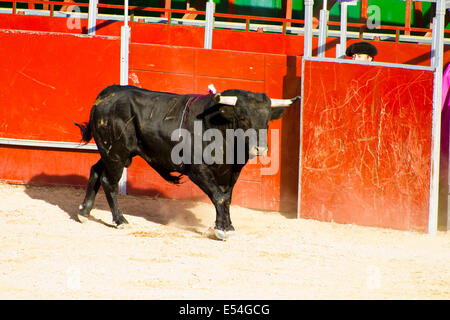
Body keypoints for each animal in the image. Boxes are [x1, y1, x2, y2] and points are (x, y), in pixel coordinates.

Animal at [74, 85, 298, 240]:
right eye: (243, 118)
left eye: (267, 120)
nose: (260, 149)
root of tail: (107, 94)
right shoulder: (198, 170)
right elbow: (219, 197)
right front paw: (221, 229)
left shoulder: (231, 173)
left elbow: (226, 198)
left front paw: (228, 226)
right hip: (116, 155)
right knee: (108, 181)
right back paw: (120, 220)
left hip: (109, 153)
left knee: (95, 171)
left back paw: (84, 212)